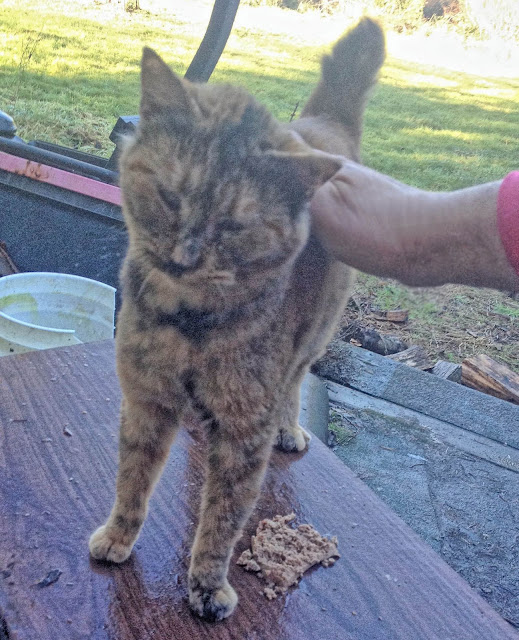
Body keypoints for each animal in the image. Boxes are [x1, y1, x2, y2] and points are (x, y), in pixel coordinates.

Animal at [87, 18, 384, 620]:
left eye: (233, 226)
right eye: (169, 195)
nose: (184, 256)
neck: (190, 327)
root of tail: (324, 123)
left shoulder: (247, 430)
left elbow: (224, 517)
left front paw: (206, 584)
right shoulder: (146, 398)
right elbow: (133, 479)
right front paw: (118, 536)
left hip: (315, 335)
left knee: (296, 381)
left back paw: (290, 428)